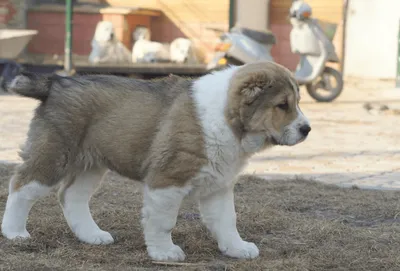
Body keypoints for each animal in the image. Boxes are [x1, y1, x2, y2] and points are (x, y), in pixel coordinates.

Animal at [0, 62, 310, 264]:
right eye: (282, 105)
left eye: (296, 102)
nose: (306, 129)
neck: (227, 119)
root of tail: (56, 82)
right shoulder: (167, 181)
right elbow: (163, 222)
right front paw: (164, 252)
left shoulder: (217, 186)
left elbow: (227, 220)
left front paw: (236, 248)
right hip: (55, 154)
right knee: (21, 186)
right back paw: (14, 232)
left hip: (91, 164)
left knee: (71, 196)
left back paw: (92, 235)